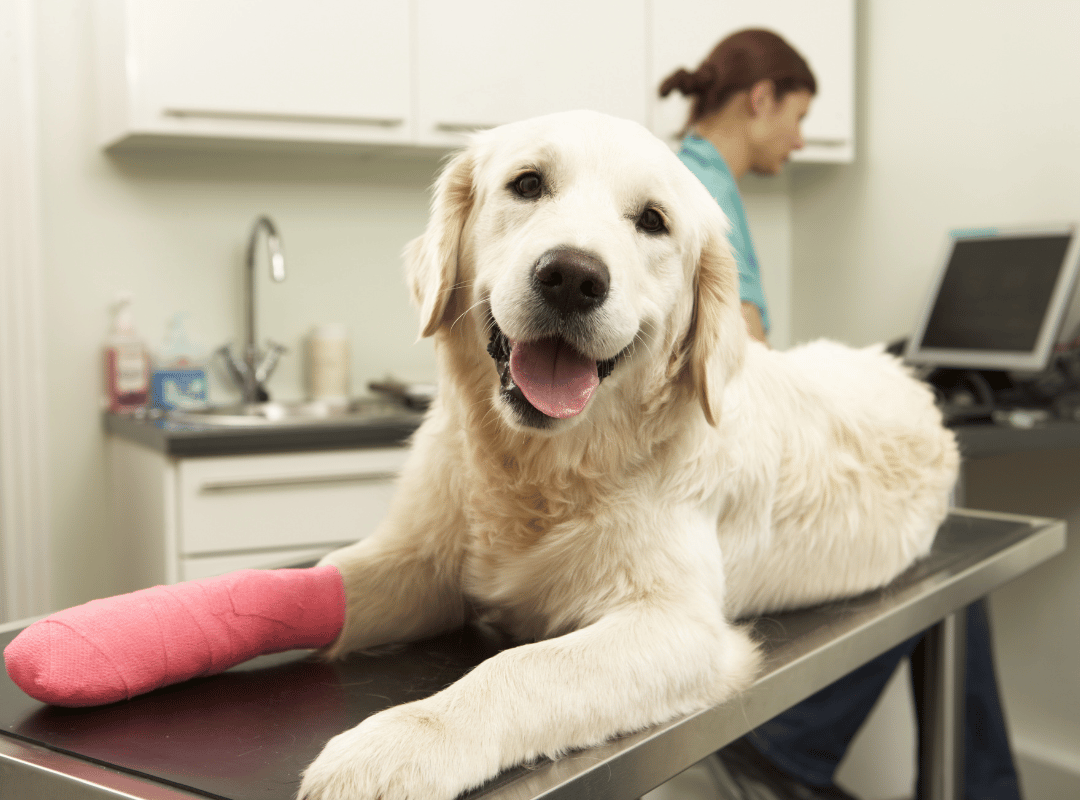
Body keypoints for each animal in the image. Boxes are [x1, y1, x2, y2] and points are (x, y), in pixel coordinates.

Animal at [298, 109, 963, 794]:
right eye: (527, 183)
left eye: (652, 220)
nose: (572, 276)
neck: (542, 467)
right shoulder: (420, 560)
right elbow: (329, 580)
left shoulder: (679, 625)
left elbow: (523, 667)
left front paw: (398, 744)